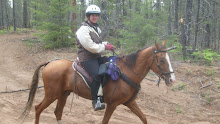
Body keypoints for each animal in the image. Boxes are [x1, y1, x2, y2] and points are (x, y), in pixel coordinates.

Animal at [20, 40, 175, 123]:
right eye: (162, 60)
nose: (172, 79)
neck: (127, 72)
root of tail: (50, 62)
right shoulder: (112, 104)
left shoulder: (130, 103)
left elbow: (144, 118)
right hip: (52, 94)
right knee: (38, 108)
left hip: (63, 94)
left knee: (57, 112)